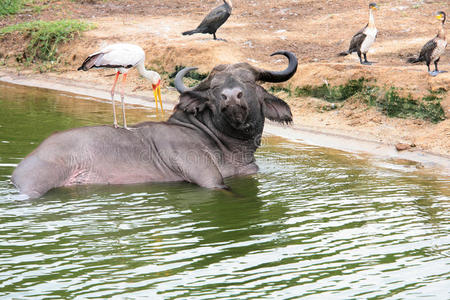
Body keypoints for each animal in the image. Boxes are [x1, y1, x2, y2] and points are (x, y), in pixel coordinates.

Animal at [10, 50, 298, 198]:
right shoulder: (206, 176)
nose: (231, 96)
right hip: (36, 184)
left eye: (248, 81)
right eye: (215, 89)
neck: (228, 147)